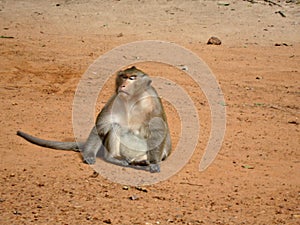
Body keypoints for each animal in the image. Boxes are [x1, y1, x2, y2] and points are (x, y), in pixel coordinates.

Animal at [17, 66, 171, 173]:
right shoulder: (115, 99)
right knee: (115, 126)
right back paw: (114, 158)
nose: (123, 85)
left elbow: (158, 131)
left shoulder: (153, 101)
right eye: (123, 77)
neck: (133, 99)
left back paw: (141, 163)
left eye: (132, 78)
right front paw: (89, 155)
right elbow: (101, 125)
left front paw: (154, 164)